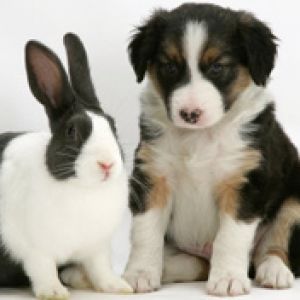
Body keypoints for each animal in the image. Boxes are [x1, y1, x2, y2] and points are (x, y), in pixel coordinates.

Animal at [0, 32, 132, 298]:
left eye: (113, 125)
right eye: (72, 131)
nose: (107, 164)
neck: (82, 189)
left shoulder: (97, 247)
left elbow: (101, 268)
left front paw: (117, 286)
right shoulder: (35, 250)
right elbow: (44, 270)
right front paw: (54, 292)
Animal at [122, 2, 300, 298]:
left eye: (217, 67)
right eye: (169, 66)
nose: (190, 114)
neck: (199, 137)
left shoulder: (244, 182)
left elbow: (231, 236)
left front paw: (227, 278)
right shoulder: (153, 175)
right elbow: (145, 232)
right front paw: (139, 274)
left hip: (294, 201)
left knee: (274, 247)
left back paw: (273, 271)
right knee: (196, 264)